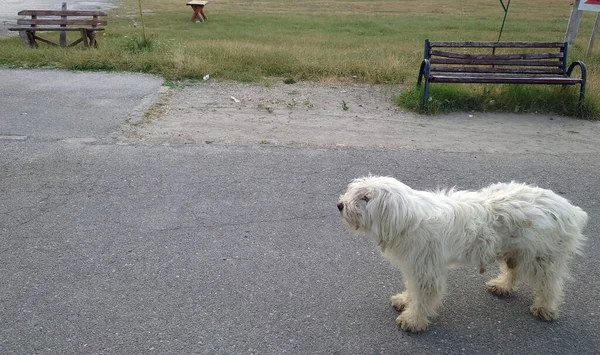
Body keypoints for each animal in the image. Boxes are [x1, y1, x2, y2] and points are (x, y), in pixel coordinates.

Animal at [336, 177, 588, 336]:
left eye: (366, 197)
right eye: (356, 192)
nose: (340, 205)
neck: (406, 220)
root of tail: (571, 210)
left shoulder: (427, 270)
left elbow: (423, 297)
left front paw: (413, 320)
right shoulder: (415, 266)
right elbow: (412, 289)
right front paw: (405, 300)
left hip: (541, 259)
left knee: (550, 285)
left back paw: (545, 308)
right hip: (518, 251)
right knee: (514, 271)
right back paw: (502, 286)